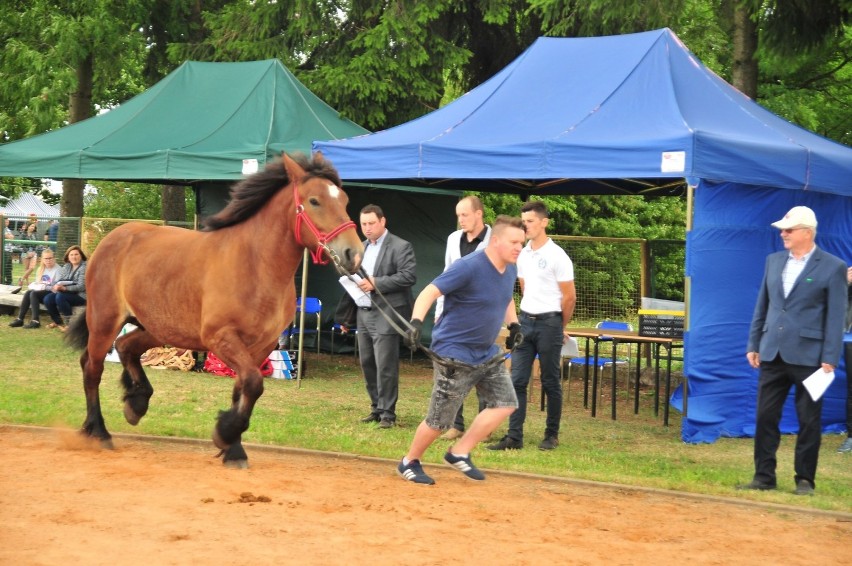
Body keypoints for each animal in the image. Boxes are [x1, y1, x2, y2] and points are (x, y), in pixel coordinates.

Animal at [64, 153, 362, 468]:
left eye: (344, 200)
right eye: (315, 200)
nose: (353, 254)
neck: (256, 264)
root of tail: (113, 237)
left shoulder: (261, 346)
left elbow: (242, 389)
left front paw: (233, 448)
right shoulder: (220, 338)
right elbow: (253, 384)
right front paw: (225, 434)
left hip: (158, 328)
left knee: (125, 347)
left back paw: (137, 402)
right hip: (105, 321)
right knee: (92, 367)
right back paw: (99, 430)